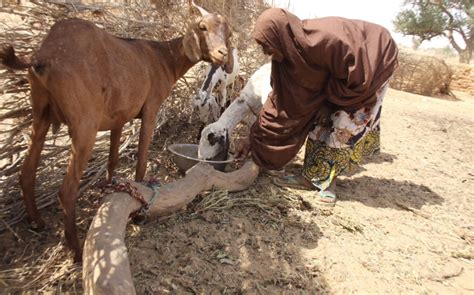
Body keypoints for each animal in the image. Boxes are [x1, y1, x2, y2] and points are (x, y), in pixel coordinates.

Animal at [0, 5, 232, 264]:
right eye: (202, 27)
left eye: (229, 33)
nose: (222, 53)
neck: (163, 59)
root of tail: (42, 57)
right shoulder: (151, 109)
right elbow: (141, 159)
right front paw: (139, 207)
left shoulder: (118, 119)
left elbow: (112, 159)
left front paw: (110, 189)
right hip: (85, 126)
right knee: (66, 190)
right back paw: (77, 251)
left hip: (40, 114)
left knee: (26, 173)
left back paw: (38, 223)